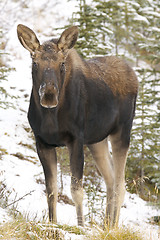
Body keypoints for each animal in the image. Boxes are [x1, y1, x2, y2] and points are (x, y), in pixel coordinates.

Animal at [16, 24, 138, 227]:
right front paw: (53, 223)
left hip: (122, 132)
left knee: (120, 186)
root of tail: (135, 75)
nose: (49, 95)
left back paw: (112, 227)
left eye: (62, 64)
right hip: (97, 141)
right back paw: (105, 225)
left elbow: (76, 190)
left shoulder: (75, 140)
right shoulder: (42, 143)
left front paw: (81, 226)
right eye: (34, 63)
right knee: (110, 179)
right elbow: (51, 191)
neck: (51, 117)